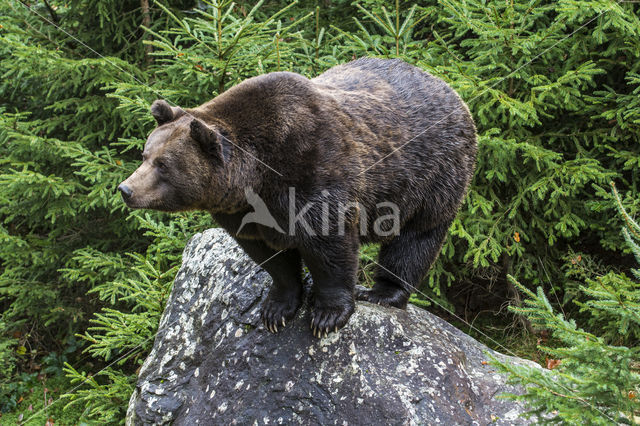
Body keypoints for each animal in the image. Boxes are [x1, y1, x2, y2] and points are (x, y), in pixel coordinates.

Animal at [119, 56, 476, 338]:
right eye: (145, 154)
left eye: (163, 165)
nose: (126, 189)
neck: (257, 178)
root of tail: (449, 88)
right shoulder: (244, 213)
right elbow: (269, 256)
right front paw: (277, 309)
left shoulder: (313, 170)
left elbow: (329, 244)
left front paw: (327, 315)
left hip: (433, 174)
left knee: (417, 238)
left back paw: (382, 292)